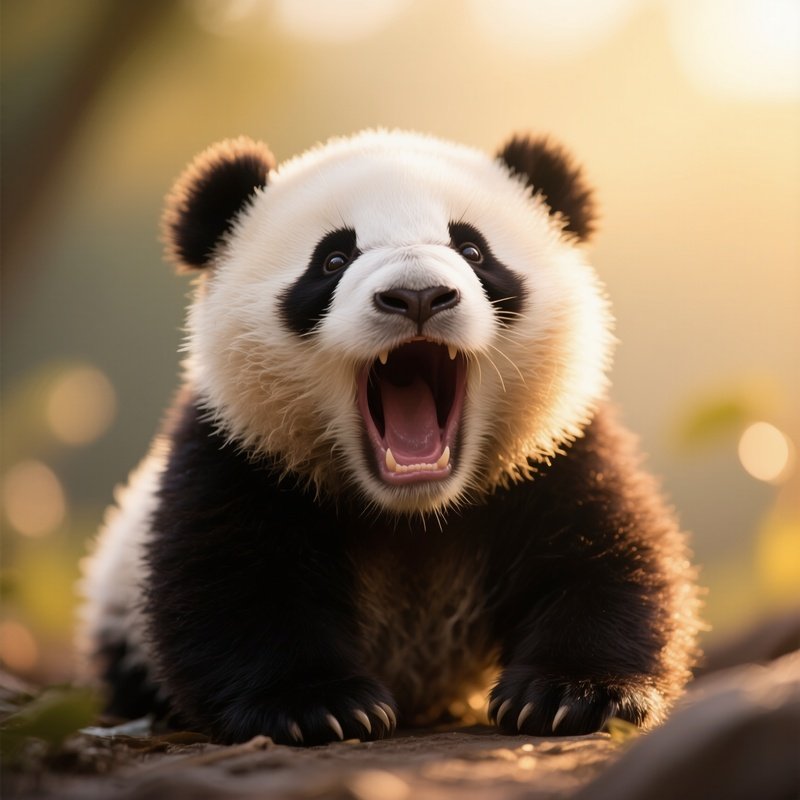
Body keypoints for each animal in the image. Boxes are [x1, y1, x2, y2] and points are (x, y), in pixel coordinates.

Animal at [79, 129, 700, 746]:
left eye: (472, 250)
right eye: (333, 259)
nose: (419, 295)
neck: (413, 514)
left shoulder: (556, 450)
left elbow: (605, 555)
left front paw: (572, 694)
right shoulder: (240, 448)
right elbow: (231, 579)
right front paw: (317, 706)